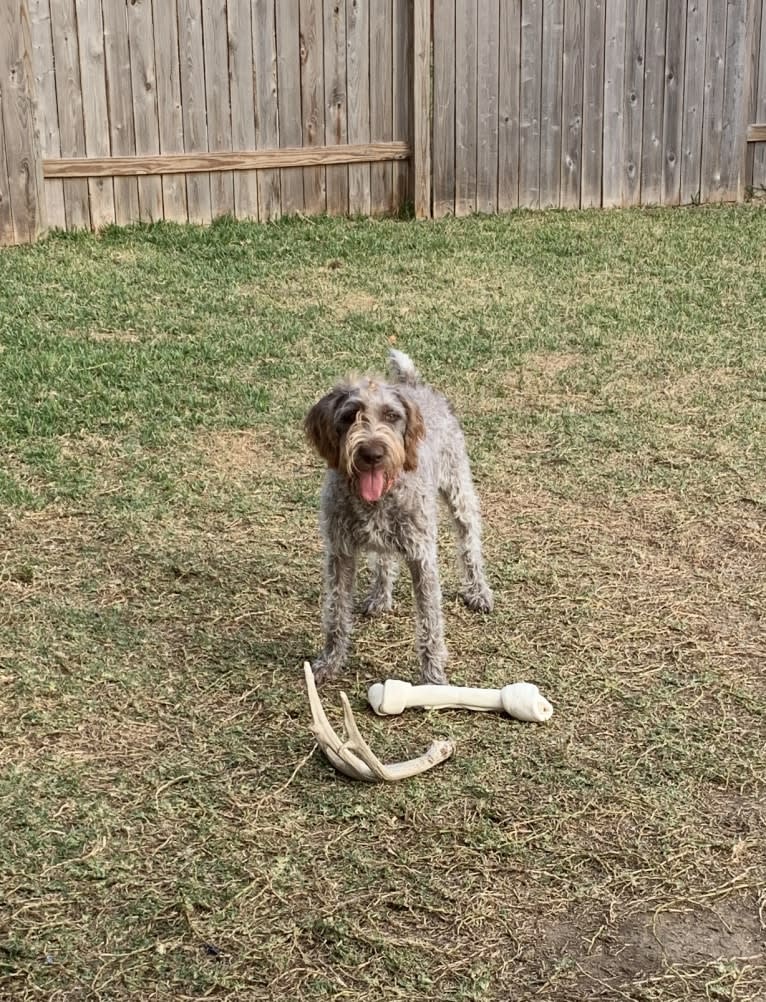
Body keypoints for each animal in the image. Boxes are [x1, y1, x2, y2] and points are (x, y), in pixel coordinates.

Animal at [304, 348, 491, 685]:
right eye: (350, 415)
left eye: (392, 416)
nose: (372, 453)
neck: (376, 501)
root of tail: (413, 383)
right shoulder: (340, 553)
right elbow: (336, 613)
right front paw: (331, 661)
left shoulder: (422, 557)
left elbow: (430, 623)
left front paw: (433, 678)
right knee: (383, 558)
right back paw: (381, 595)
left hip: (458, 491)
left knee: (470, 542)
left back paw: (478, 590)